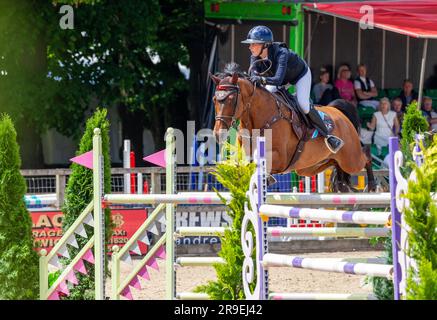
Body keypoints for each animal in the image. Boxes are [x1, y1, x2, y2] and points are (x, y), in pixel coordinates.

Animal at [211, 71, 374, 191]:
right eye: (214, 100)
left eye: (231, 99)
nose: (218, 134)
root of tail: (339, 112)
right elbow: (241, 163)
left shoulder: (280, 157)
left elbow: (261, 159)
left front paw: (266, 178)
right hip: (309, 167)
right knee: (334, 163)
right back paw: (342, 183)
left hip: (351, 159)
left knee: (365, 155)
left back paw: (372, 186)